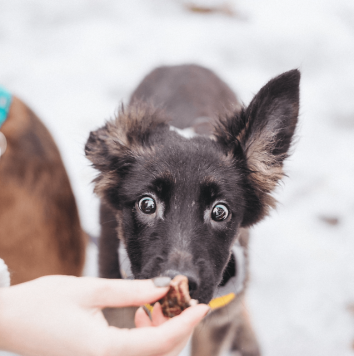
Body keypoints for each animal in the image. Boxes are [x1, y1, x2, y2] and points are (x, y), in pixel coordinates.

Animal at [85, 64, 298, 356]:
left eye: (220, 212)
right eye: (147, 204)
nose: (179, 280)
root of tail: (181, 64)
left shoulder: (213, 328)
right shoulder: (119, 316)